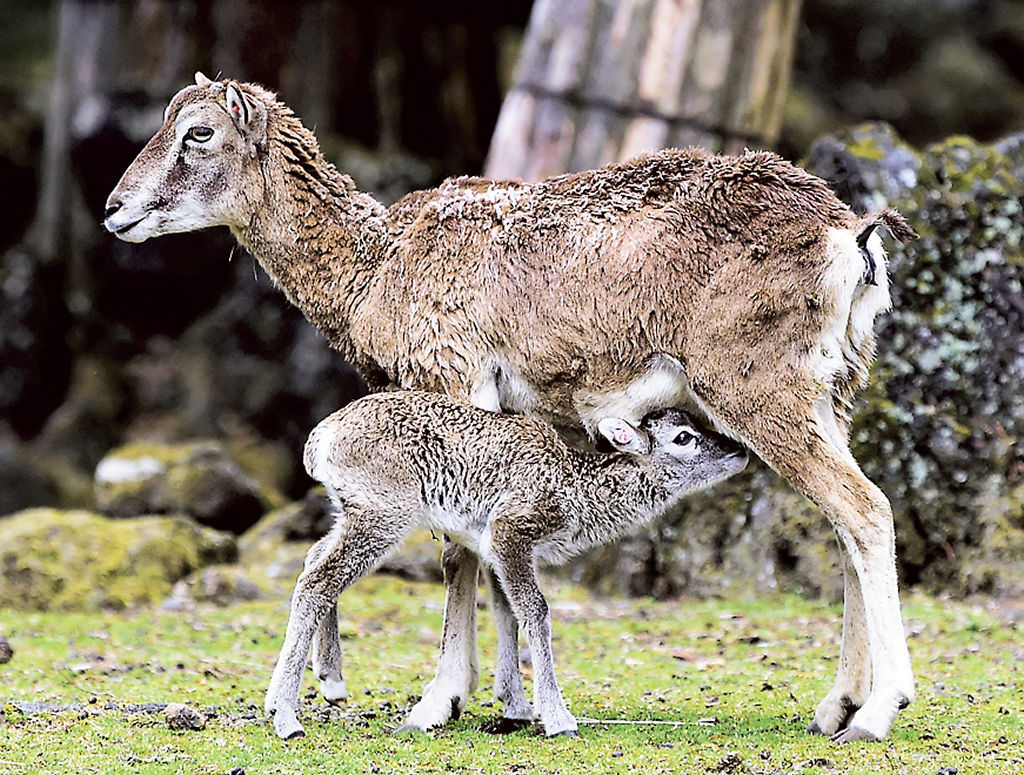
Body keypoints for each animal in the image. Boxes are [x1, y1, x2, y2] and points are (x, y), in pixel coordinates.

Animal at [265, 390, 749, 739]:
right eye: (683, 436)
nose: (739, 451)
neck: (575, 490)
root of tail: (319, 439)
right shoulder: (511, 531)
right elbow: (535, 609)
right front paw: (557, 718)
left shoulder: (496, 547)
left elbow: (506, 612)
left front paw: (517, 706)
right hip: (383, 515)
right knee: (318, 581)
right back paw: (287, 718)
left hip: (351, 511)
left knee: (313, 560)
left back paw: (328, 681)